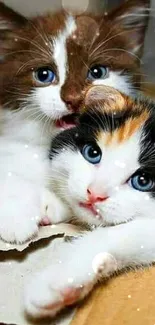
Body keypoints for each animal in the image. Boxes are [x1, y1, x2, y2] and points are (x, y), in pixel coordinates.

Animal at [24, 85, 155, 318]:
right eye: (92, 153)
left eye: (143, 181)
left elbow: (118, 233)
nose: (94, 193)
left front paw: (59, 277)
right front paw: (45, 203)